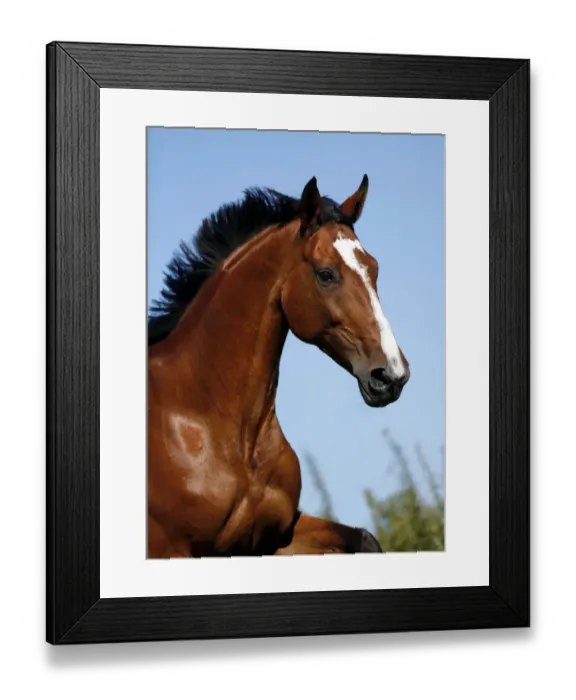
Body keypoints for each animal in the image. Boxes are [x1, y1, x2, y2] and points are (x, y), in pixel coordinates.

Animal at [147, 175, 410, 558]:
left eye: (374, 269)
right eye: (326, 274)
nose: (392, 375)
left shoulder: (272, 538)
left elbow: (365, 539)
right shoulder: (171, 547)